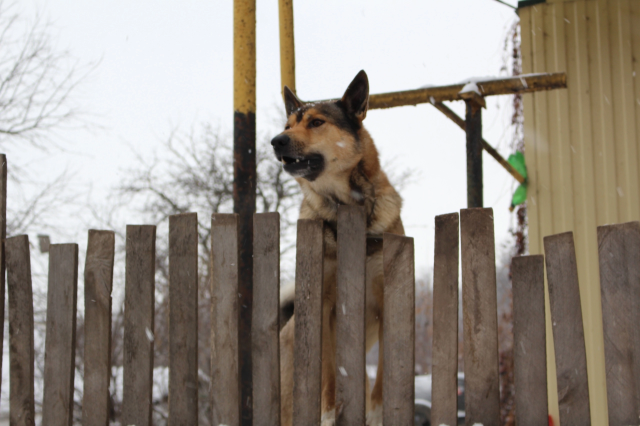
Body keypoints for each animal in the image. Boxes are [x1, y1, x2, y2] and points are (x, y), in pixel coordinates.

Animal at [272, 70, 404, 426]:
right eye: (288, 125)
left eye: (317, 122)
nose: (276, 140)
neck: (345, 205)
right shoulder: (325, 304)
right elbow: (330, 372)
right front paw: (329, 413)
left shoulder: (386, 302)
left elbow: (384, 373)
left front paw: (377, 414)